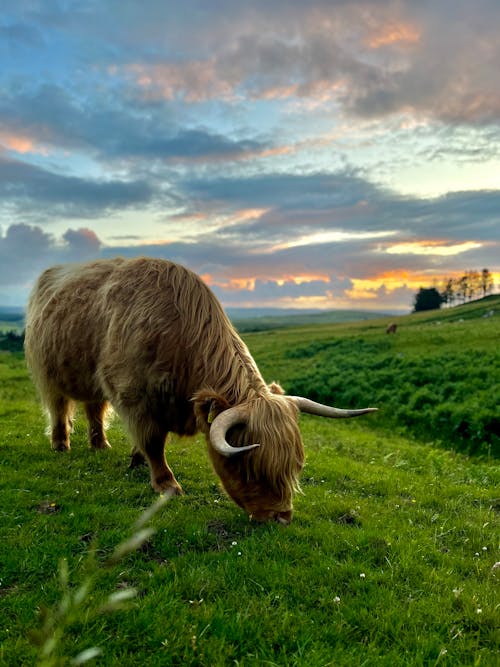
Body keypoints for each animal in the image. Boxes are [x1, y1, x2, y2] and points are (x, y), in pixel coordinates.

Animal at [23, 258, 376, 524]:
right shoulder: (134, 396)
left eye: (296, 465)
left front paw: (136, 461)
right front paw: (166, 484)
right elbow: (153, 441)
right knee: (59, 408)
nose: (282, 517)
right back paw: (61, 444)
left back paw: (100, 445)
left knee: (94, 408)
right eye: (249, 468)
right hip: (49, 372)